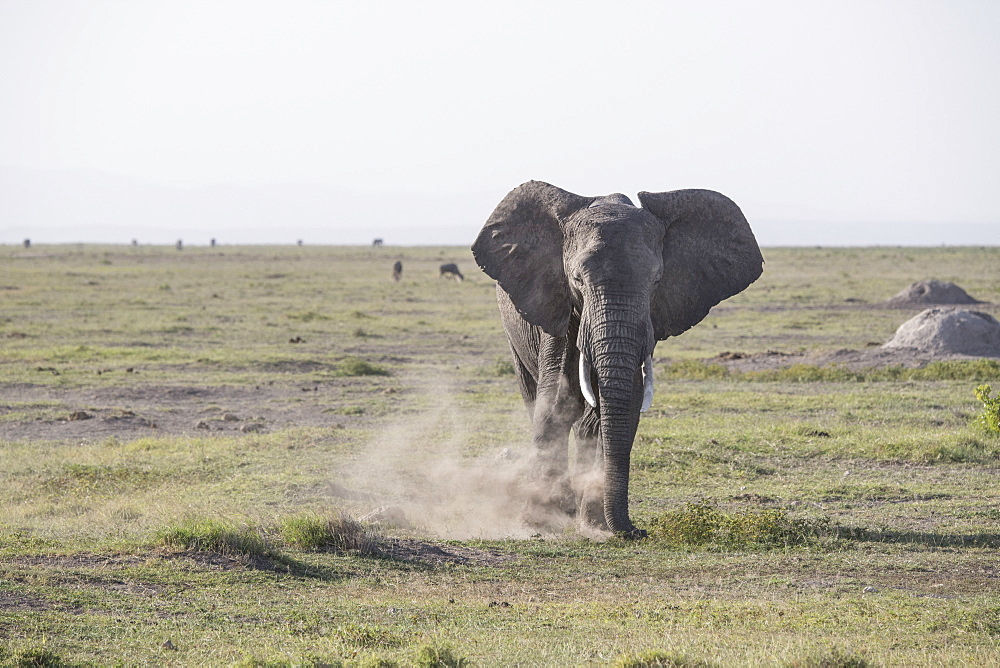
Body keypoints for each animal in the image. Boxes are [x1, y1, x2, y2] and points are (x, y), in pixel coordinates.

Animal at [472, 180, 760, 536]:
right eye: (577, 280)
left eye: (656, 281)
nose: (636, 531)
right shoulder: (557, 303)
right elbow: (558, 400)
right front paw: (539, 522)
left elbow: (624, 400)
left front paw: (597, 527)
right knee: (534, 396)